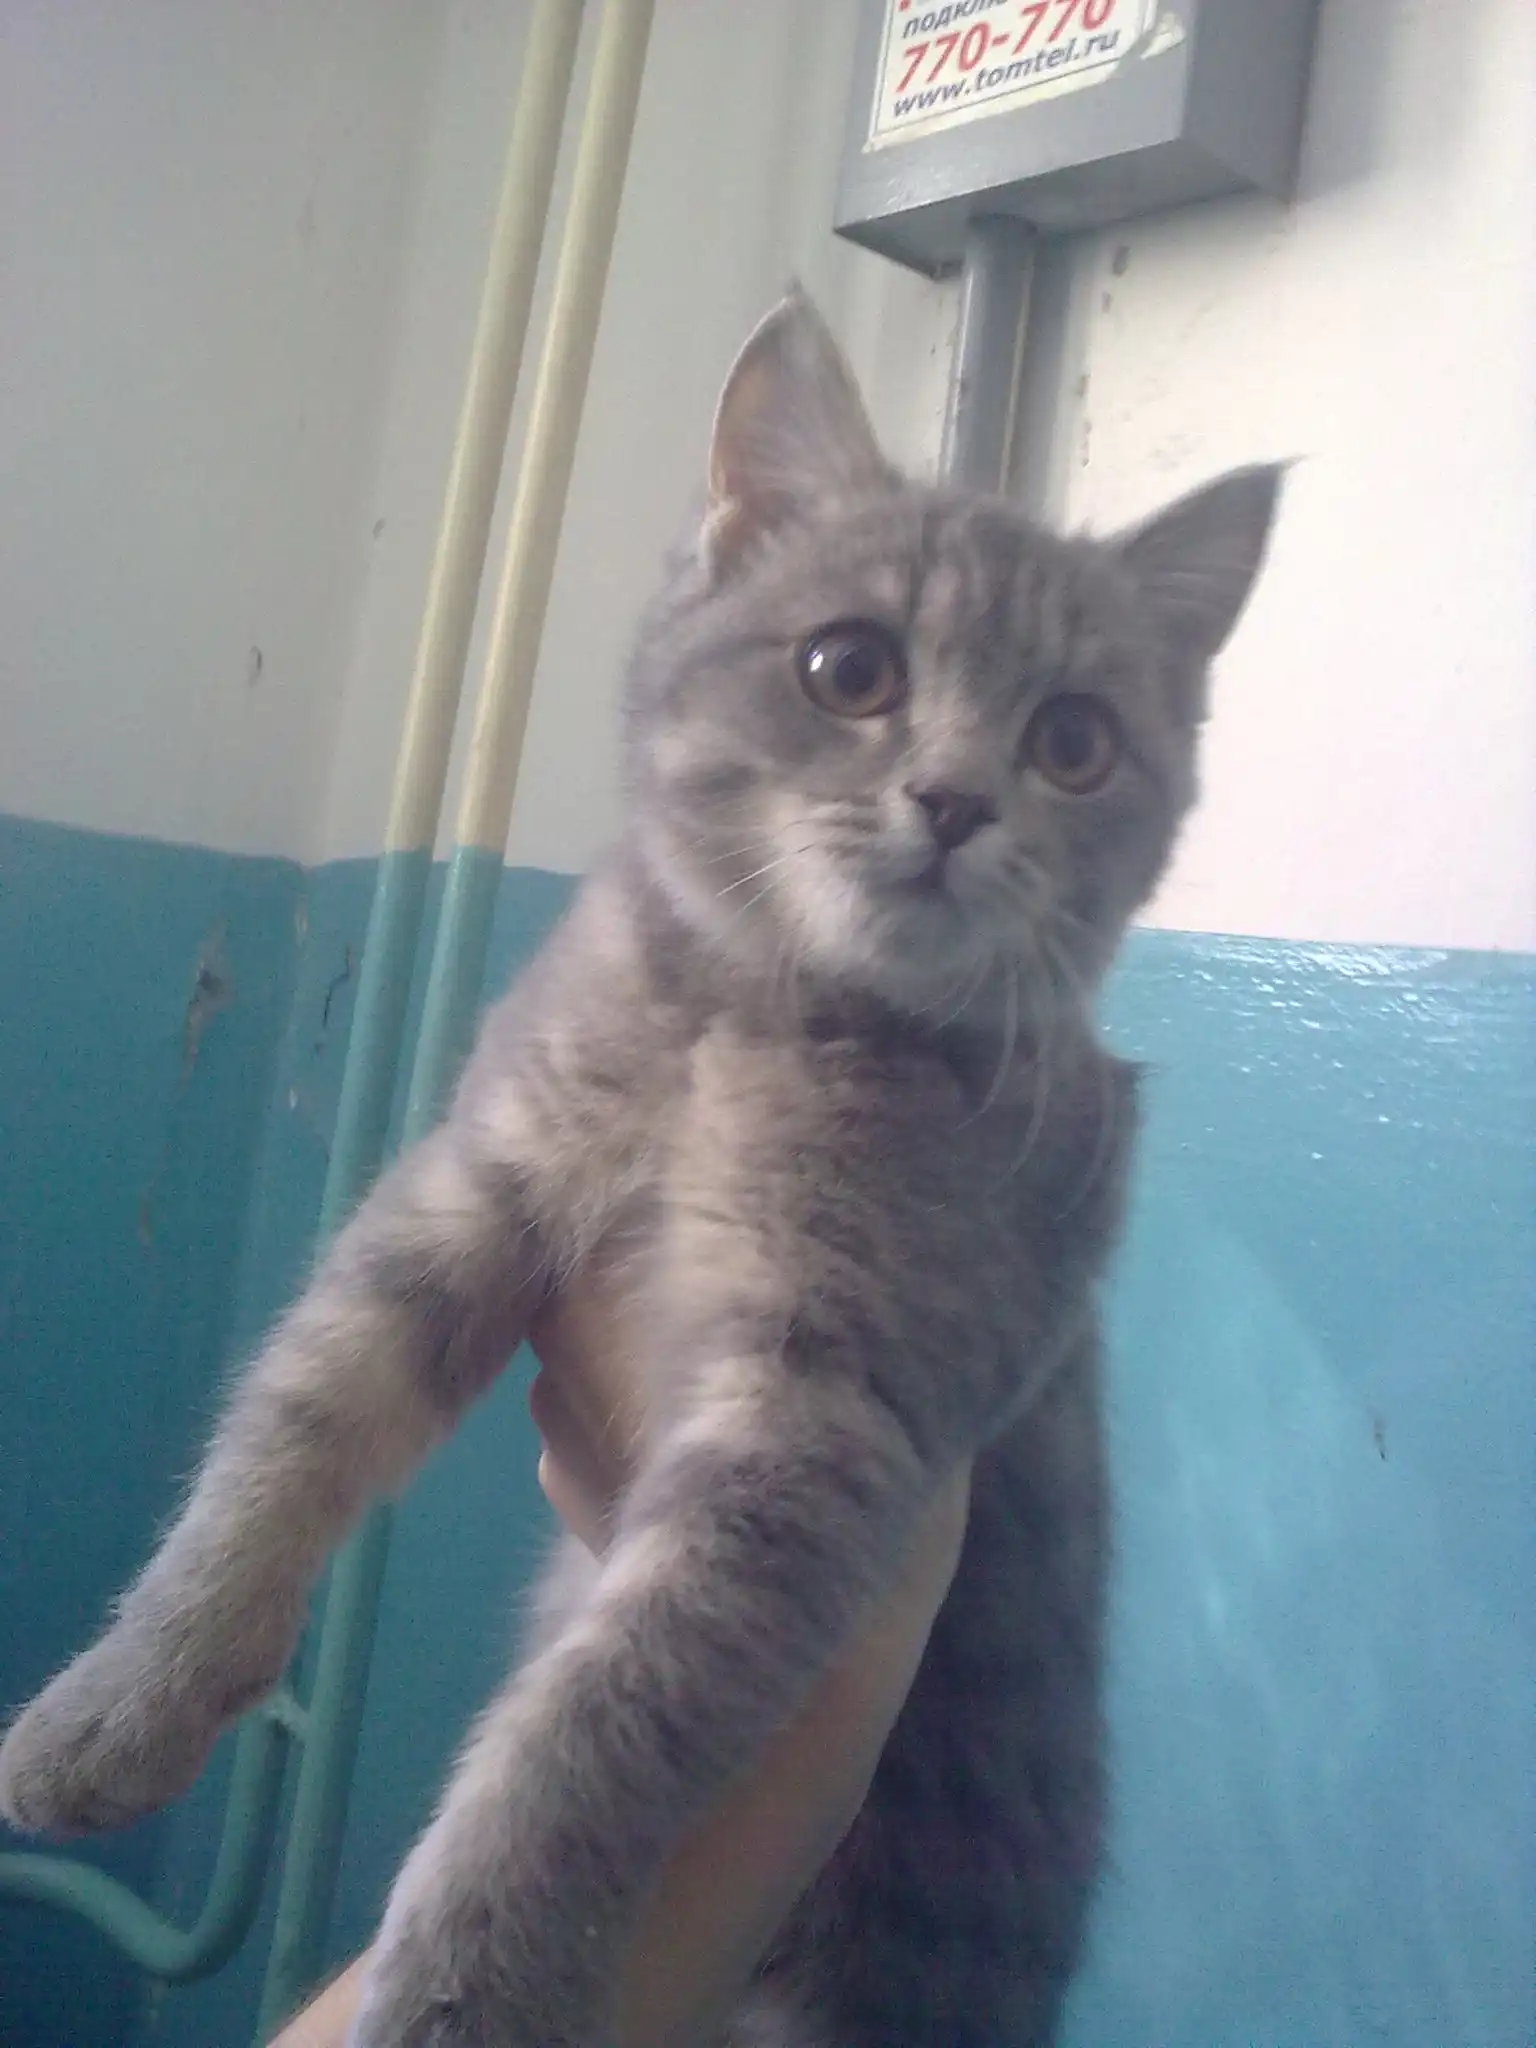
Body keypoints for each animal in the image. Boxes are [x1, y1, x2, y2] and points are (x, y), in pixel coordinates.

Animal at [0, 288, 1280, 2046]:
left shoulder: (827, 1415)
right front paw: (124, 1697)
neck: (753, 1020)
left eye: (1075, 742)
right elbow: (289, 1427)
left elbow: (603, 1719)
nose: (955, 799)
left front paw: (475, 1976)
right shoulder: (469, 1183)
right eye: (848, 667)